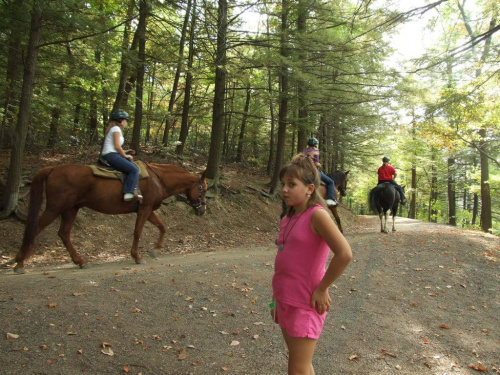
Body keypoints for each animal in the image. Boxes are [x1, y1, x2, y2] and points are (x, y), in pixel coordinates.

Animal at [12, 163, 207, 274]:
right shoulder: (144, 209)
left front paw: (155, 250)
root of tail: (53, 169)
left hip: (70, 209)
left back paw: (80, 261)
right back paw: (20, 263)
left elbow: (162, 226)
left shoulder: (149, 210)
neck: (157, 179)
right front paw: (137, 256)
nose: (203, 210)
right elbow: (138, 232)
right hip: (55, 208)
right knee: (36, 228)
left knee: (64, 234)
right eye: (203, 189)